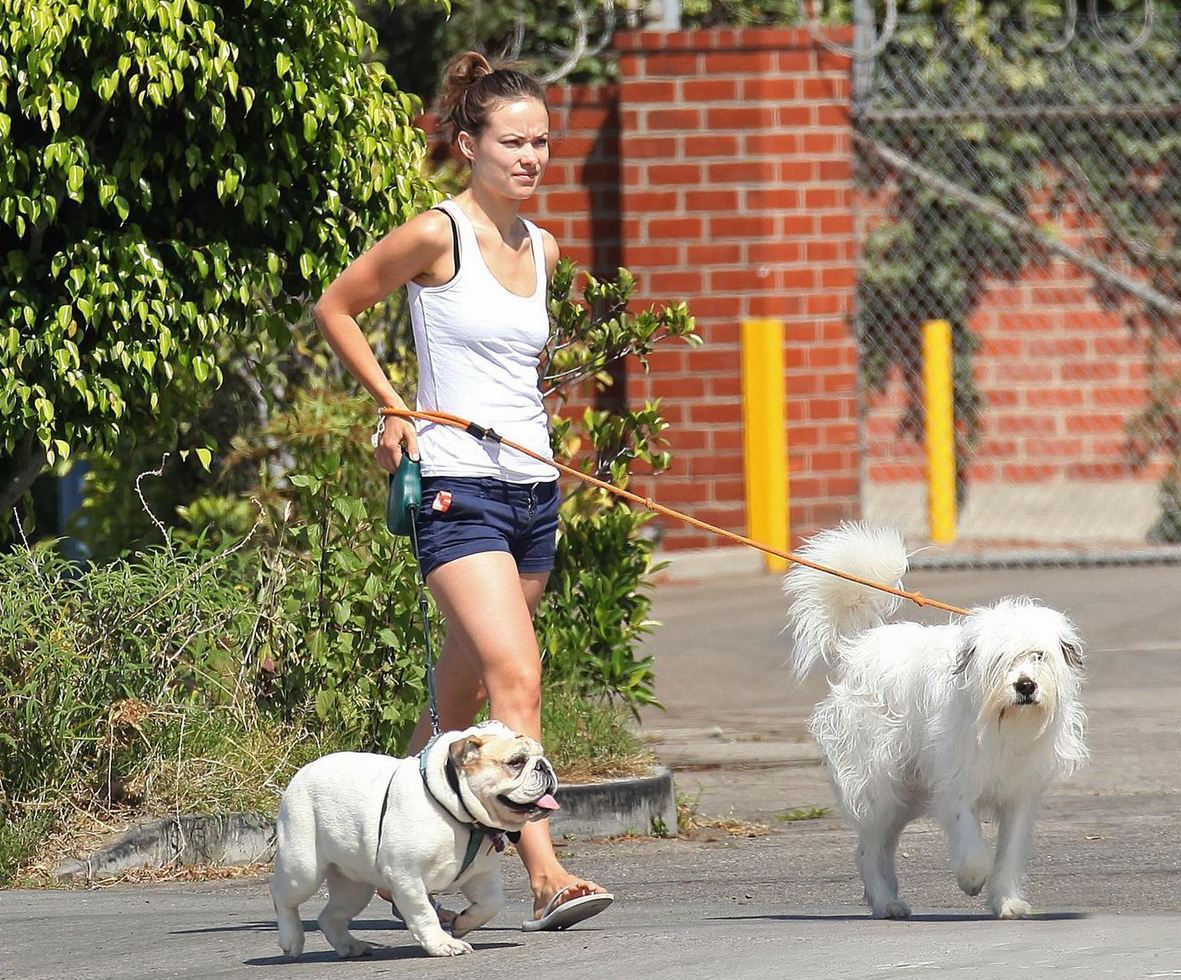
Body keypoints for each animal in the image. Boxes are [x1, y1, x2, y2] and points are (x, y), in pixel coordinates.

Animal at [784, 528, 1086, 920]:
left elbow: (1009, 853)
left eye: (1039, 655)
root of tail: (857, 649)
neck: (1001, 722)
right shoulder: (956, 786)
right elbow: (972, 846)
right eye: (1001, 660)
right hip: (879, 785)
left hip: (905, 794)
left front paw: (1006, 901)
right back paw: (885, 901)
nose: (1025, 686)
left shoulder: (1018, 795)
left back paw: (888, 899)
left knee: (883, 846)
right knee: (867, 849)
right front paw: (972, 879)